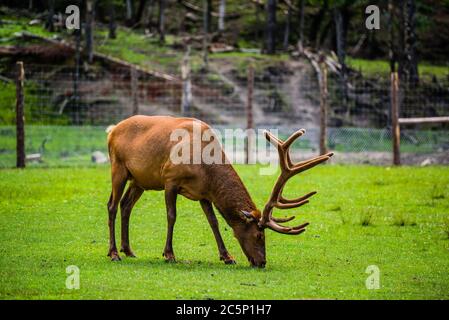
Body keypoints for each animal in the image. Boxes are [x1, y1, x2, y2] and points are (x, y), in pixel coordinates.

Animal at [104, 115, 328, 268]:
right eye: (259, 235)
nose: (262, 262)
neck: (204, 166)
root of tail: (112, 130)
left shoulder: (204, 193)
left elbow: (214, 222)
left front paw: (228, 257)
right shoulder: (170, 180)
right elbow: (171, 216)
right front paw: (169, 254)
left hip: (140, 180)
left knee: (126, 205)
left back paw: (128, 250)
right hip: (118, 168)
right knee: (112, 205)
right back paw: (114, 253)